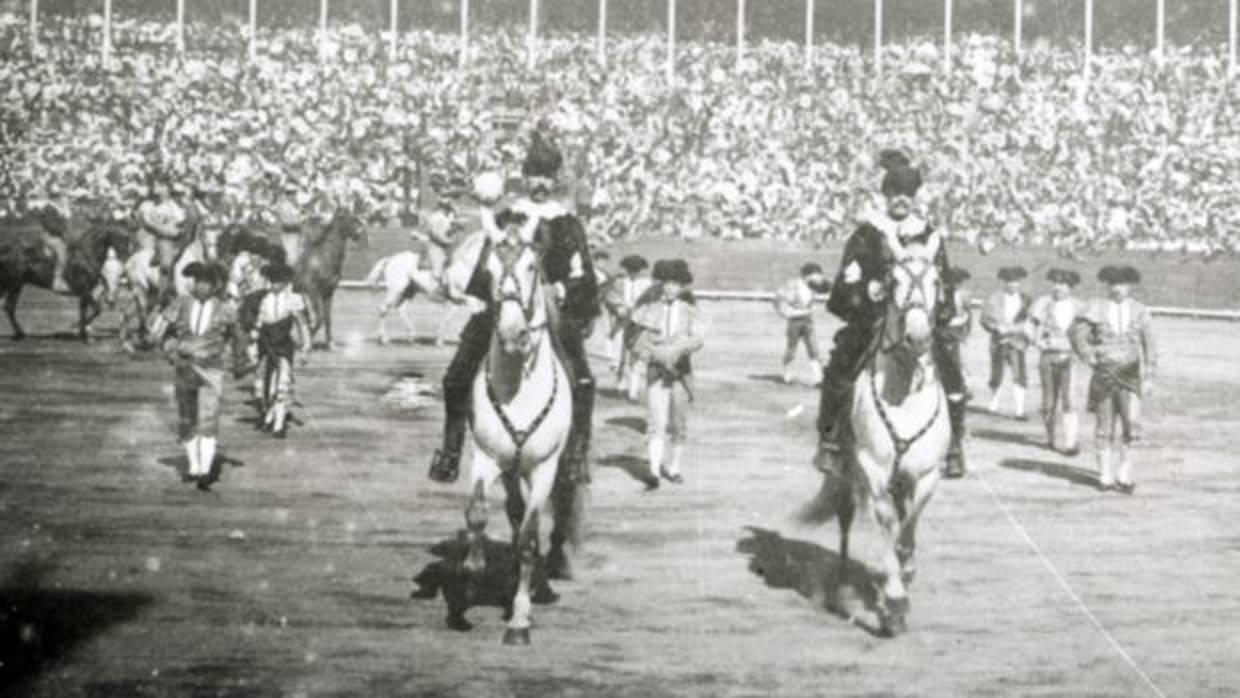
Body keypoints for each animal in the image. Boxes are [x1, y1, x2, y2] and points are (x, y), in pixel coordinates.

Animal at [0, 214, 133, 342]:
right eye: (124, 238)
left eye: (128, 239)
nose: (126, 261)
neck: (86, 256)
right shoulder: (84, 290)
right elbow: (97, 309)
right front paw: (79, 330)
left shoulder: (85, 293)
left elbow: (83, 311)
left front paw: (84, 334)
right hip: (11, 284)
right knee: (8, 307)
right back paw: (19, 334)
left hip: (16, 285)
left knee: (9, 307)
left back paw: (20, 334)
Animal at [292, 207, 364, 349]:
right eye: (349, 218)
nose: (361, 234)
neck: (324, 257)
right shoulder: (312, 290)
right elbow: (319, 318)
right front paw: (309, 339)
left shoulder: (328, 292)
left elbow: (327, 318)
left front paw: (330, 344)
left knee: (298, 316)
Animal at [463, 231, 572, 649]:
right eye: (489, 269)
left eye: (530, 266)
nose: (512, 335)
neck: (517, 387)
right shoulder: (485, 457)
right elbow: (477, 512)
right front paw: (473, 568)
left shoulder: (543, 469)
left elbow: (528, 538)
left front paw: (519, 621)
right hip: (510, 470)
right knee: (511, 511)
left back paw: (540, 584)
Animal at [803, 250, 947, 639]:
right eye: (893, 280)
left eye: (936, 280)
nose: (918, 336)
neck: (903, 389)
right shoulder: (873, 470)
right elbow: (886, 521)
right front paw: (894, 601)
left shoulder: (927, 474)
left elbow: (909, 524)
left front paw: (904, 571)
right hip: (846, 475)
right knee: (846, 517)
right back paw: (840, 588)